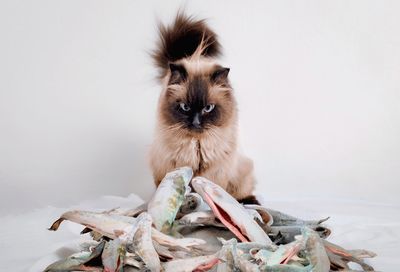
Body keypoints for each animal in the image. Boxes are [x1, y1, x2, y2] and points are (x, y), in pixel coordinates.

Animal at [148, 12, 258, 204]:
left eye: (208, 108)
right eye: (185, 107)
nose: (196, 122)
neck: (196, 144)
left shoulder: (216, 170)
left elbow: (210, 187)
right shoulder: (173, 164)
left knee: (242, 193)